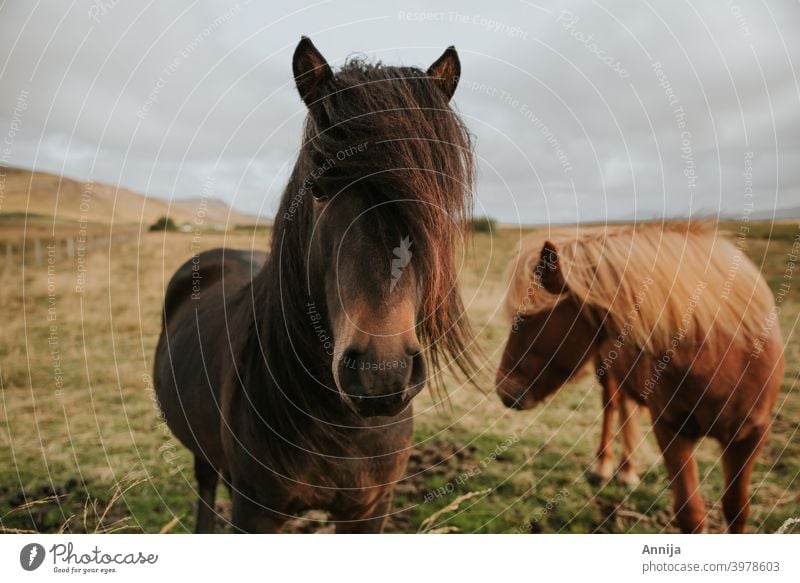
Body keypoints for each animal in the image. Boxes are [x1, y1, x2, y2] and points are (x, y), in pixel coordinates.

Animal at [496, 224, 784, 532]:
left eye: (526, 317)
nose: (503, 389)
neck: (718, 355)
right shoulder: (670, 431)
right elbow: (691, 514)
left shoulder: (750, 436)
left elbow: (737, 509)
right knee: (612, 407)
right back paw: (604, 467)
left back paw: (628, 470)